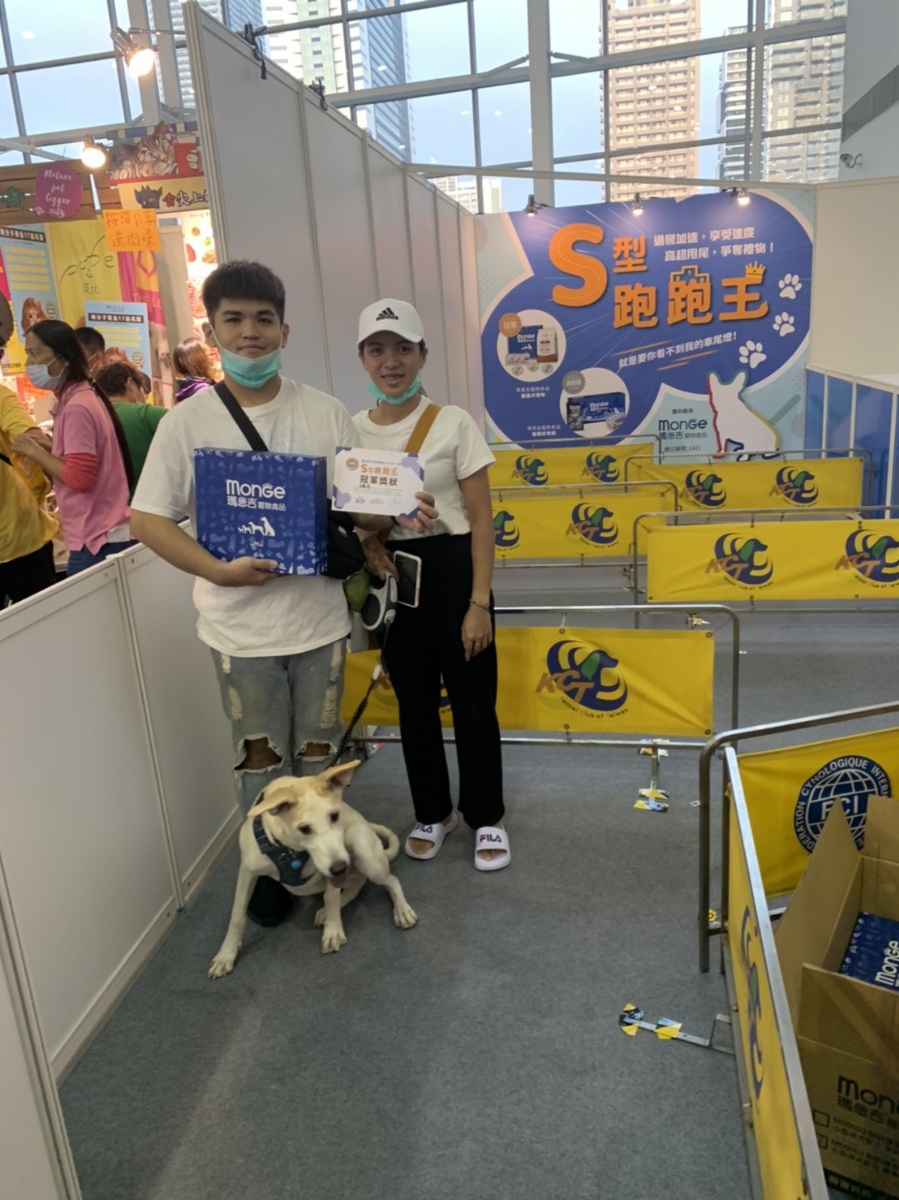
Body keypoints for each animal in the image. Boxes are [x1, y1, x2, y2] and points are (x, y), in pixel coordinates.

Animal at [209, 759, 416, 978]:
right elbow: (237, 915)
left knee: (390, 881)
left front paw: (332, 931)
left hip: (362, 849)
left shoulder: (333, 867)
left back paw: (401, 910)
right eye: (304, 829)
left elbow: (331, 897)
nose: (340, 868)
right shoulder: (247, 871)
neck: (288, 848)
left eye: (335, 816)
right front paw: (226, 955)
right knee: (356, 885)